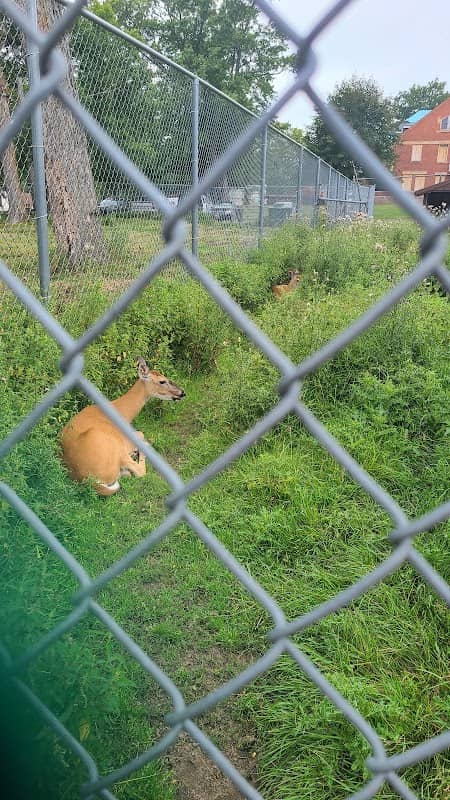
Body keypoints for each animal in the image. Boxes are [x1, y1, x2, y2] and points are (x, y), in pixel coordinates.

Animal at [61, 357, 185, 496]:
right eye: (162, 381)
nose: (182, 393)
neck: (121, 412)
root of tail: (89, 481)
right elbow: (141, 433)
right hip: (114, 449)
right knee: (138, 471)